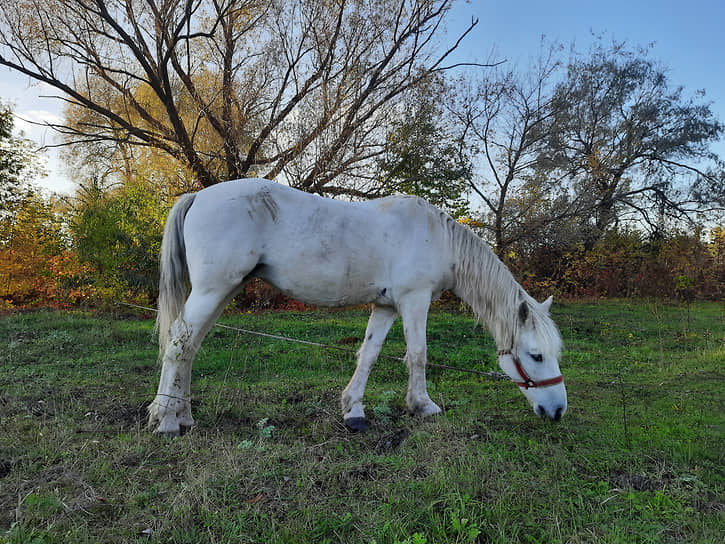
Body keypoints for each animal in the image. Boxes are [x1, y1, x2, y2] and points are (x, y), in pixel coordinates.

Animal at [147, 181, 564, 436]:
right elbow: (418, 354)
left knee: (189, 348)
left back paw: (183, 416)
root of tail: (197, 196)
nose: (558, 411)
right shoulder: (414, 300)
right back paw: (166, 421)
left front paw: (354, 411)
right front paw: (422, 405)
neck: (437, 237)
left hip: (221, 292)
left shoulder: (387, 306)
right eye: (536, 355)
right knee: (180, 345)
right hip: (211, 291)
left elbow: (369, 354)